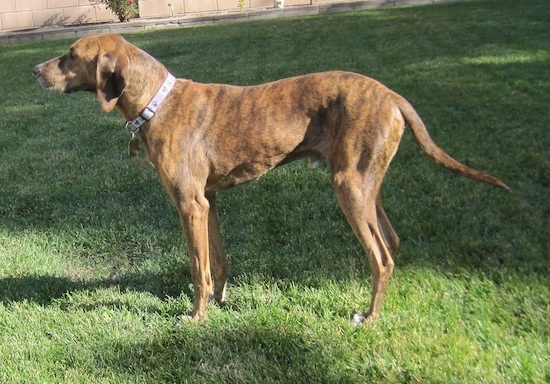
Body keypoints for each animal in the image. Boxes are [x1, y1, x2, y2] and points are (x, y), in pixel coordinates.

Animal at [33, 34, 508, 326]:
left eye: (71, 55)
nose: (35, 70)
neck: (157, 102)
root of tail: (393, 96)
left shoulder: (189, 205)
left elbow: (197, 268)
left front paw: (196, 317)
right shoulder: (208, 203)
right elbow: (217, 262)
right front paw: (220, 303)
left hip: (349, 189)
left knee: (381, 257)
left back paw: (368, 317)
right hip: (367, 187)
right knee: (391, 243)